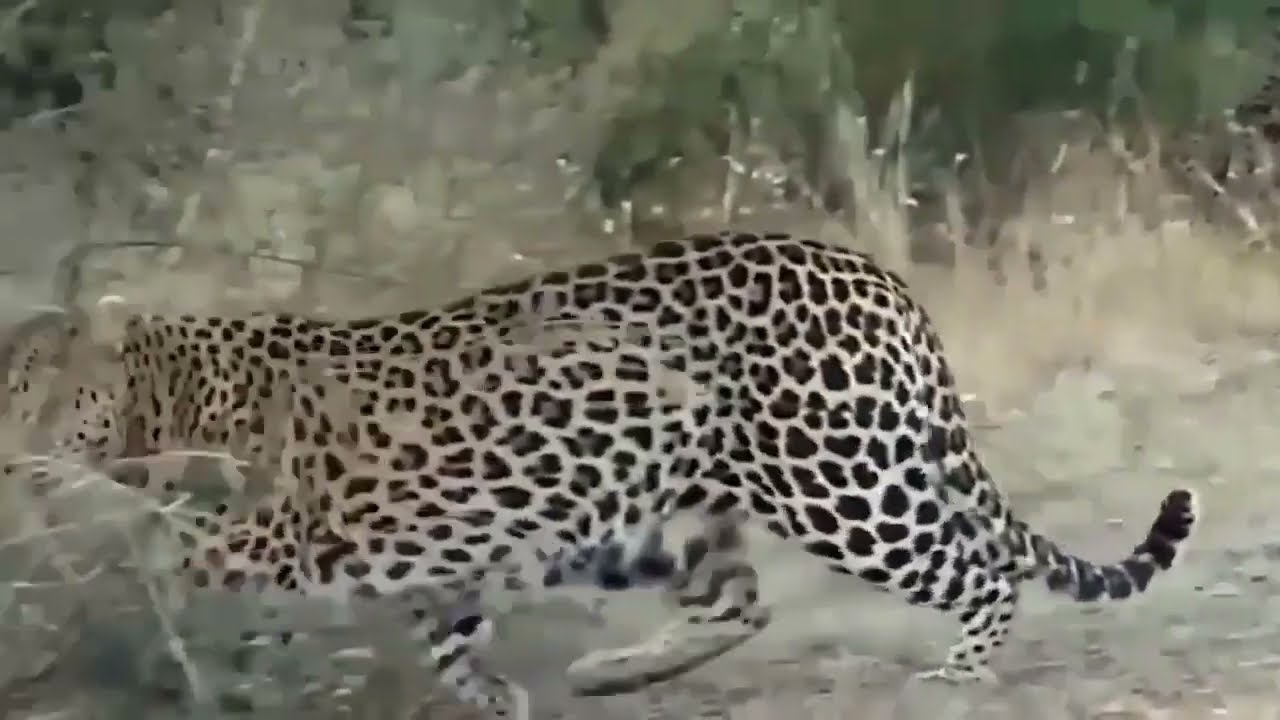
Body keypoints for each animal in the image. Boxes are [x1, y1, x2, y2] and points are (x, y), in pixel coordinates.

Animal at [4, 231, 1198, 718]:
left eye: (33, 395)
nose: (13, 459)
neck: (164, 388)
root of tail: (865, 269)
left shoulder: (270, 531)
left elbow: (169, 573)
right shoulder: (437, 551)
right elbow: (449, 642)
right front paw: (500, 701)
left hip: (835, 477)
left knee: (974, 567)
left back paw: (955, 675)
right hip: (669, 510)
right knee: (742, 601)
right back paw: (611, 674)